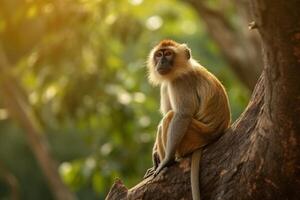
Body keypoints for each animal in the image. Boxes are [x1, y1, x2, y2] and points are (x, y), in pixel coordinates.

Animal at [144, 39, 231, 199]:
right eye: (159, 55)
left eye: (168, 53)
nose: (162, 62)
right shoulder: (168, 83)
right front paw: (156, 155)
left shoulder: (179, 82)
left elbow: (182, 115)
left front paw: (166, 161)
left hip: (195, 136)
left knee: (171, 117)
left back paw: (169, 163)